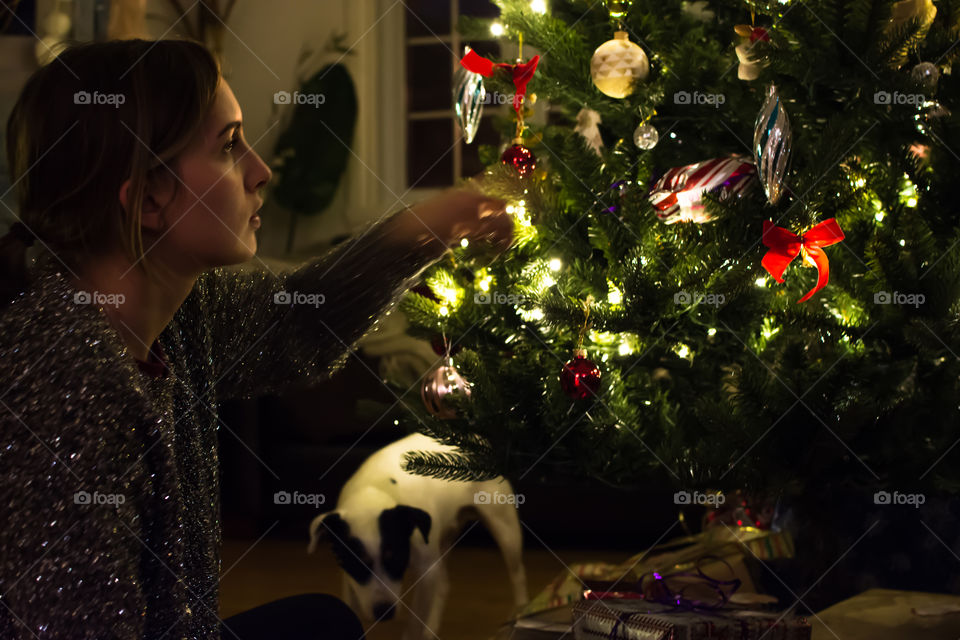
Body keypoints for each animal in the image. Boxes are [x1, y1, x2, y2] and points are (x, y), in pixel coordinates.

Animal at [308, 432, 528, 636]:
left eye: (396, 557)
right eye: (355, 562)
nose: (384, 611)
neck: (373, 493)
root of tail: (473, 437)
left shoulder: (427, 571)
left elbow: (416, 623)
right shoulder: (351, 582)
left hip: (505, 530)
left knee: (517, 576)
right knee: (443, 585)